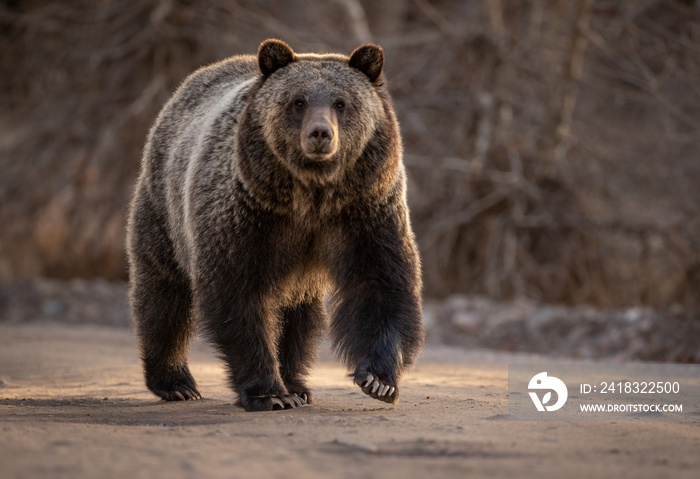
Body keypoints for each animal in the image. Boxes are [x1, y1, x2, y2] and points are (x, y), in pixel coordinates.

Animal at [125, 39, 424, 410]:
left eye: (341, 102)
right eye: (298, 101)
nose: (320, 134)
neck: (312, 195)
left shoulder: (365, 209)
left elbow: (380, 282)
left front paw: (378, 381)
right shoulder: (248, 213)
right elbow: (238, 293)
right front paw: (269, 392)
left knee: (300, 317)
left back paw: (297, 383)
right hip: (164, 209)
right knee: (164, 294)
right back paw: (176, 383)